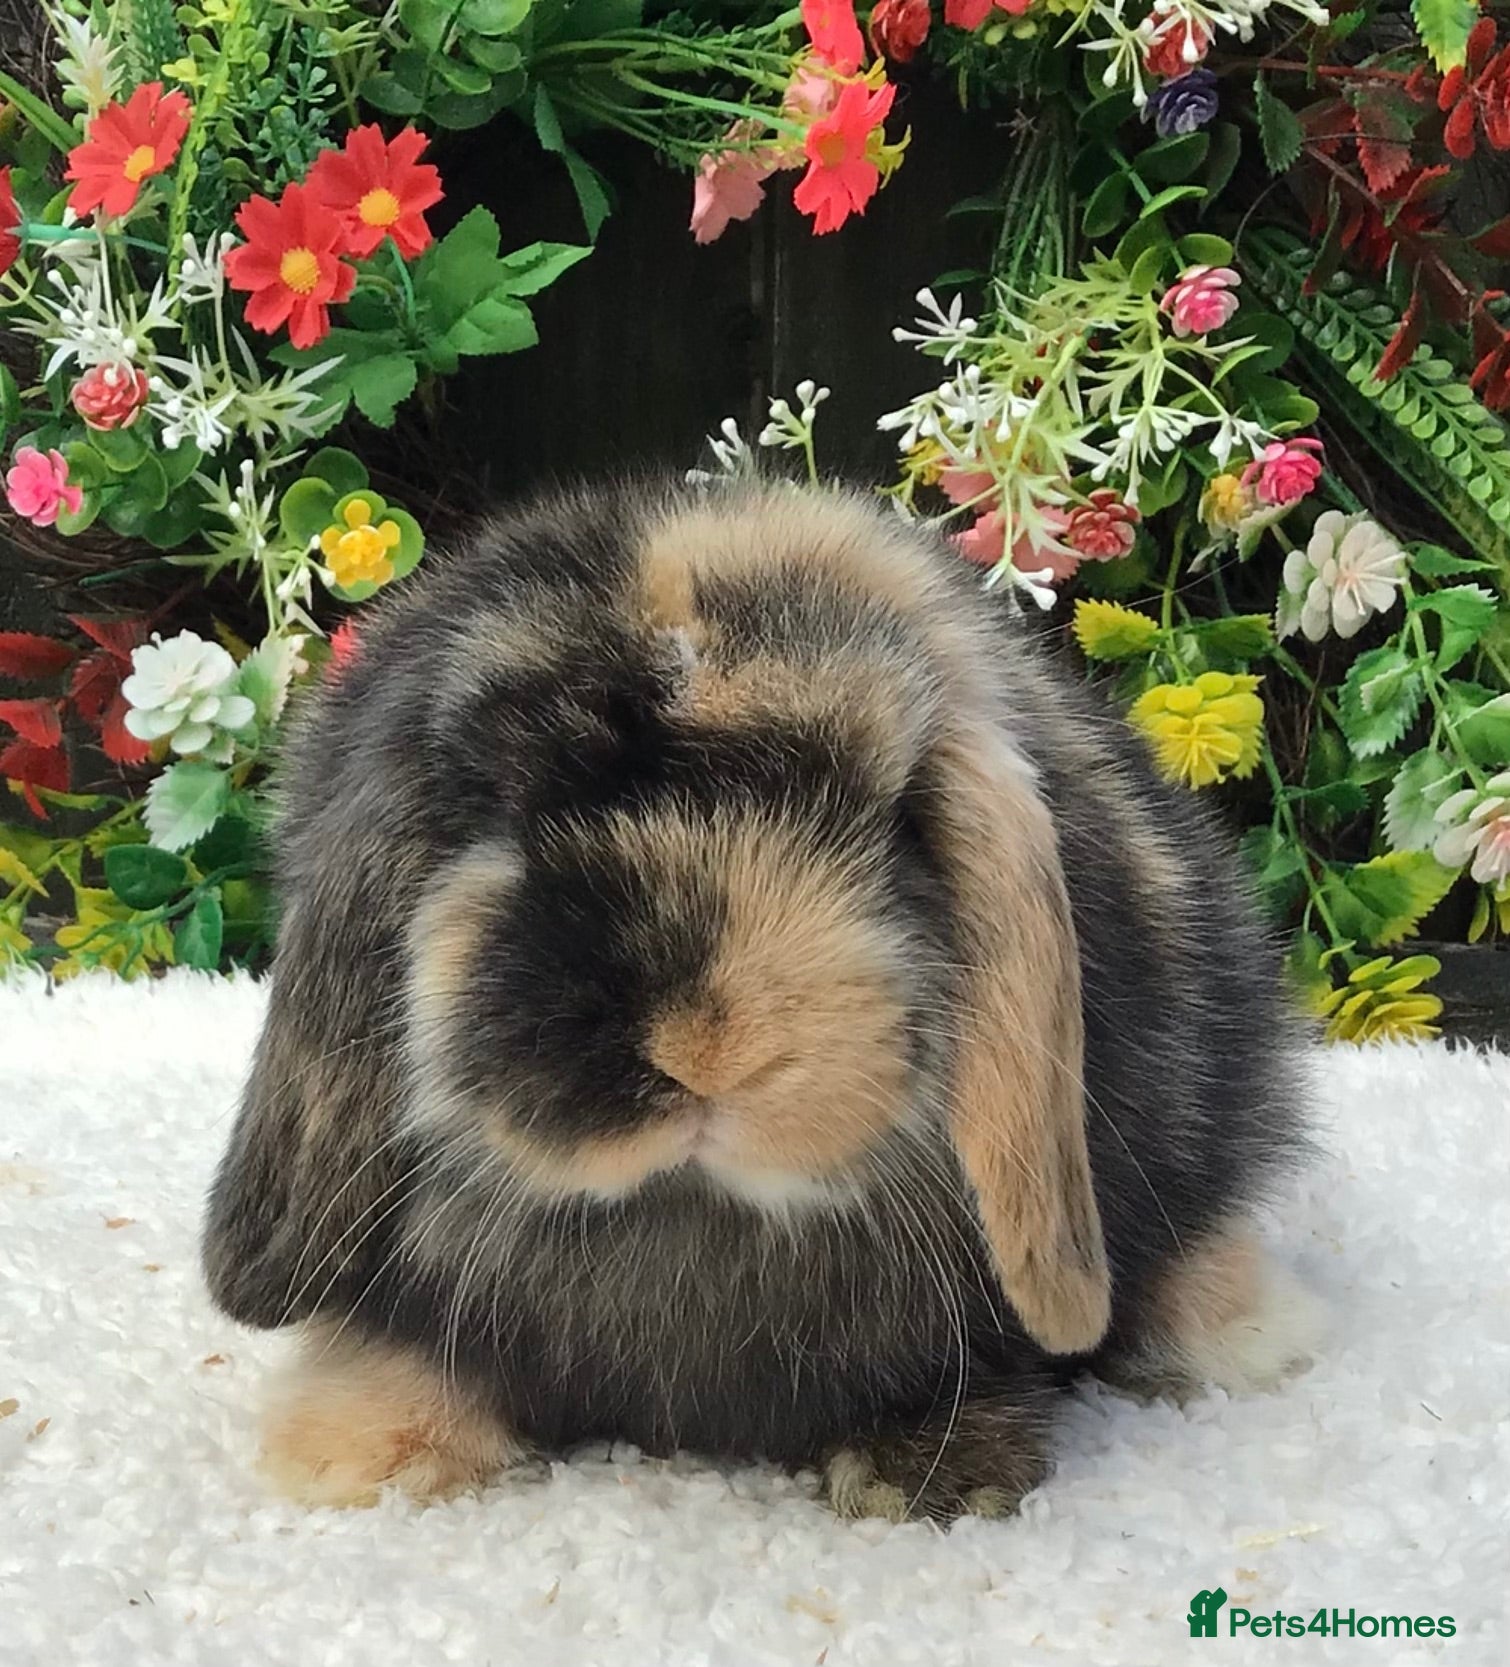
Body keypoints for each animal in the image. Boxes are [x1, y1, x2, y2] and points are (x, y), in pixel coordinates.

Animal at [202, 479, 1320, 1521]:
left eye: (894, 816)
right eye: (507, 809)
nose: (709, 1049)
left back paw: (1251, 1336)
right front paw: (359, 1458)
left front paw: (930, 1482)